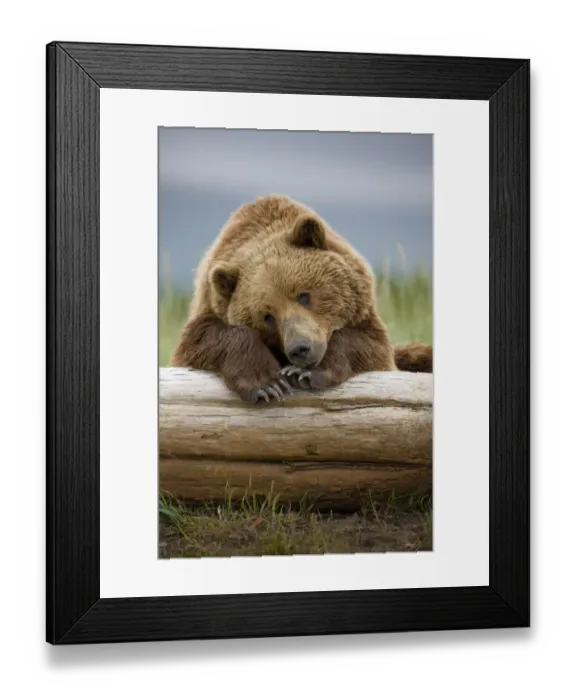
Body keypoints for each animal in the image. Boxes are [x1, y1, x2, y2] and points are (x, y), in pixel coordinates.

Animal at [169, 194, 432, 403]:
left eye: (303, 295)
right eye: (267, 316)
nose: (300, 348)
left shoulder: (364, 316)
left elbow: (369, 345)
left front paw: (303, 373)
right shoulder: (210, 304)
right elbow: (201, 341)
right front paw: (267, 384)